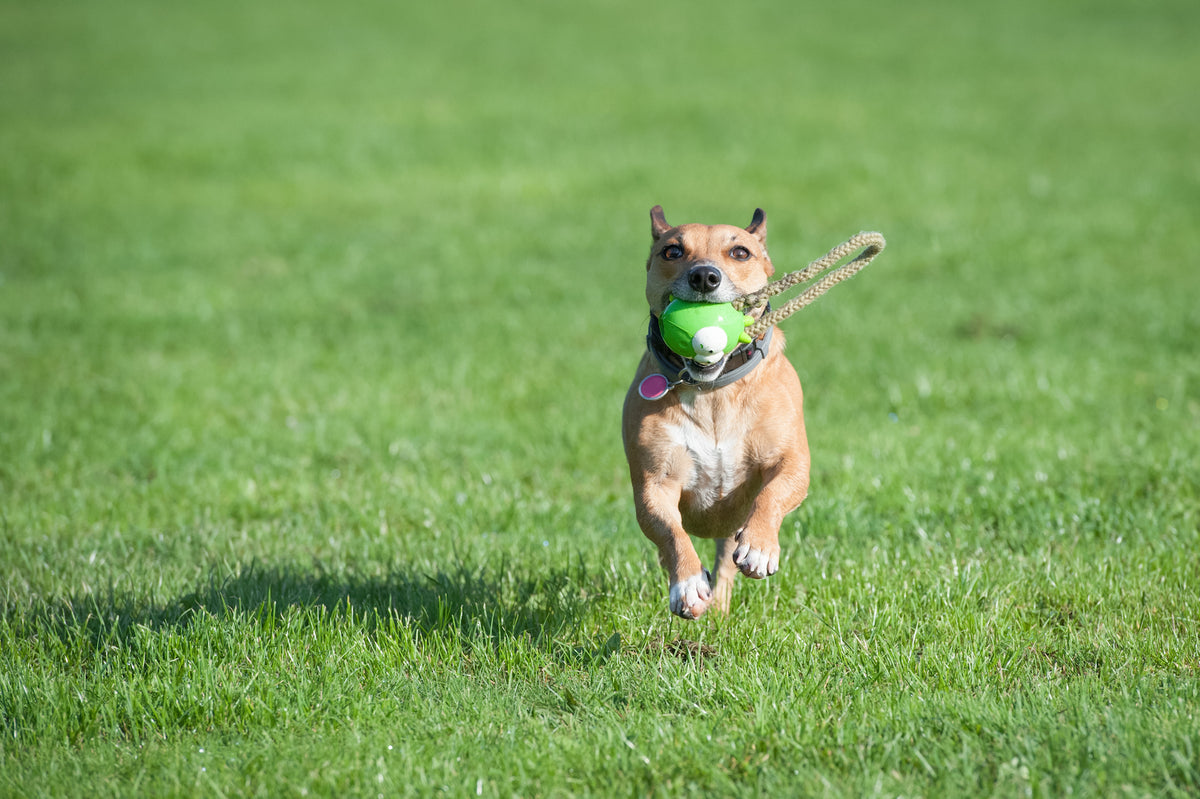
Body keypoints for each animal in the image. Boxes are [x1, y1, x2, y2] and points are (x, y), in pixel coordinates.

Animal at [624, 203, 811, 614]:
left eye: (740, 252)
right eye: (672, 251)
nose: (704, 276)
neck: (712, 390)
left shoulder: (791, 461)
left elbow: (774, 493)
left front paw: (759, 546)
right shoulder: (654, 483)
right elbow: (671, 532)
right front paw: (688, 583)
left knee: (727, 559)